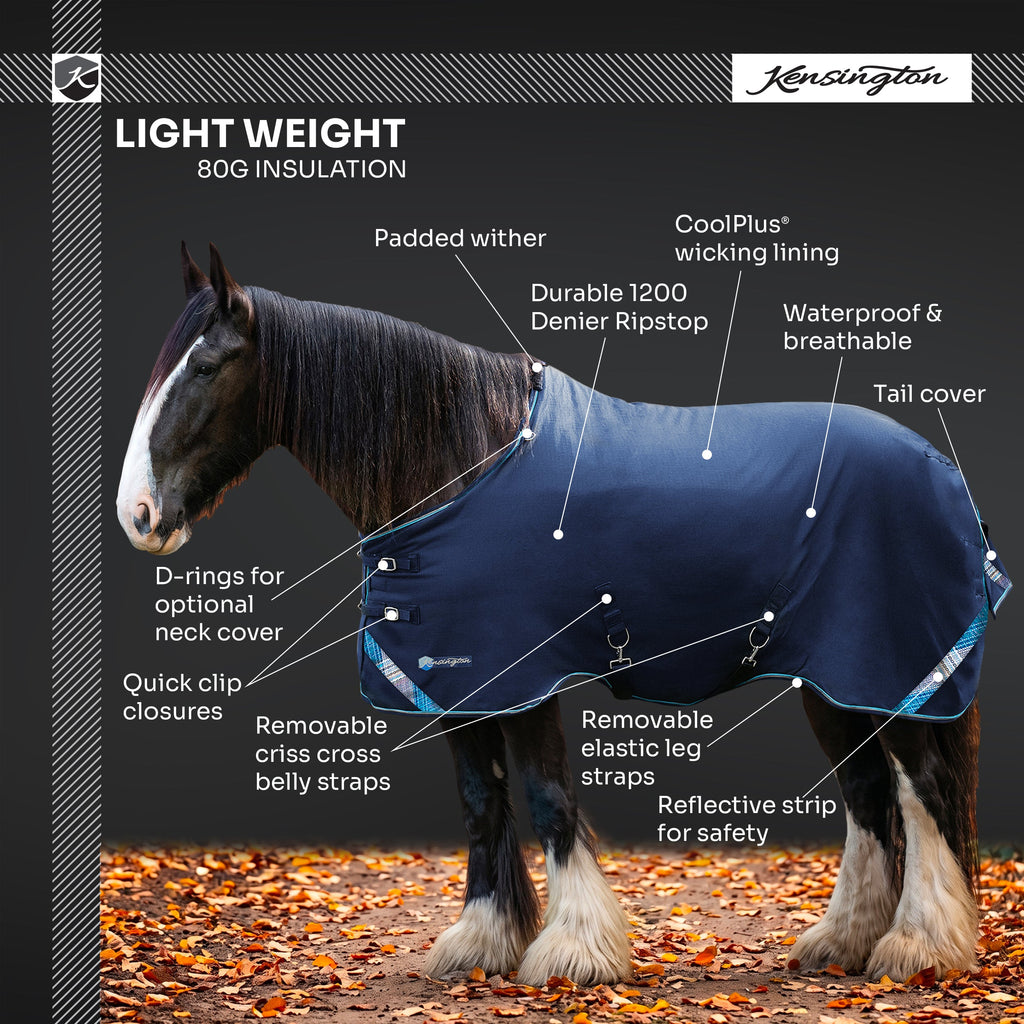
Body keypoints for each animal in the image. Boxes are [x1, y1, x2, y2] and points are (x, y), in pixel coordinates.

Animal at [117, 243, 1008, 987]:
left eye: (206, 366)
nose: (138, 515)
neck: (466, 457)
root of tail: (943, 472)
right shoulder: (460, 680)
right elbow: (482, 801)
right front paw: (483, 941)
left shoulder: (524, 675)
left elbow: (546, 796)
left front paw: (575, 951)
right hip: (832, 680)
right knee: (869, 795)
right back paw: (845, 942)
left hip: (887, 670)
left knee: (921, 789)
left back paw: (918, 947)